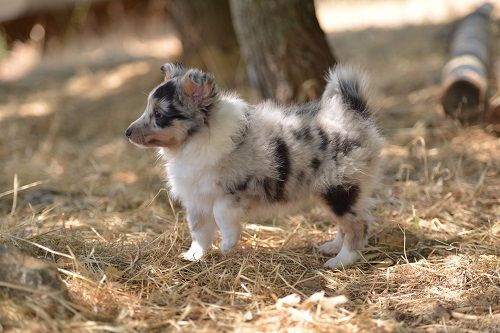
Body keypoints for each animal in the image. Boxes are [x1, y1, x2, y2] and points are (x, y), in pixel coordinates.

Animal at [126, 63, 382, 268]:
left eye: (159, 114)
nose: (126, 132)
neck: (193, 141)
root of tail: (353, 113)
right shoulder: (197, 198)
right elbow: (199, 231)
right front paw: (194, 255)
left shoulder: (240, 189)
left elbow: (220, 213)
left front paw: (228, 243)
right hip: (331, 190)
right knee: (346, 223)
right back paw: (333, 246)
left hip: (339, 187)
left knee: (358, 224)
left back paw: (342, 259)